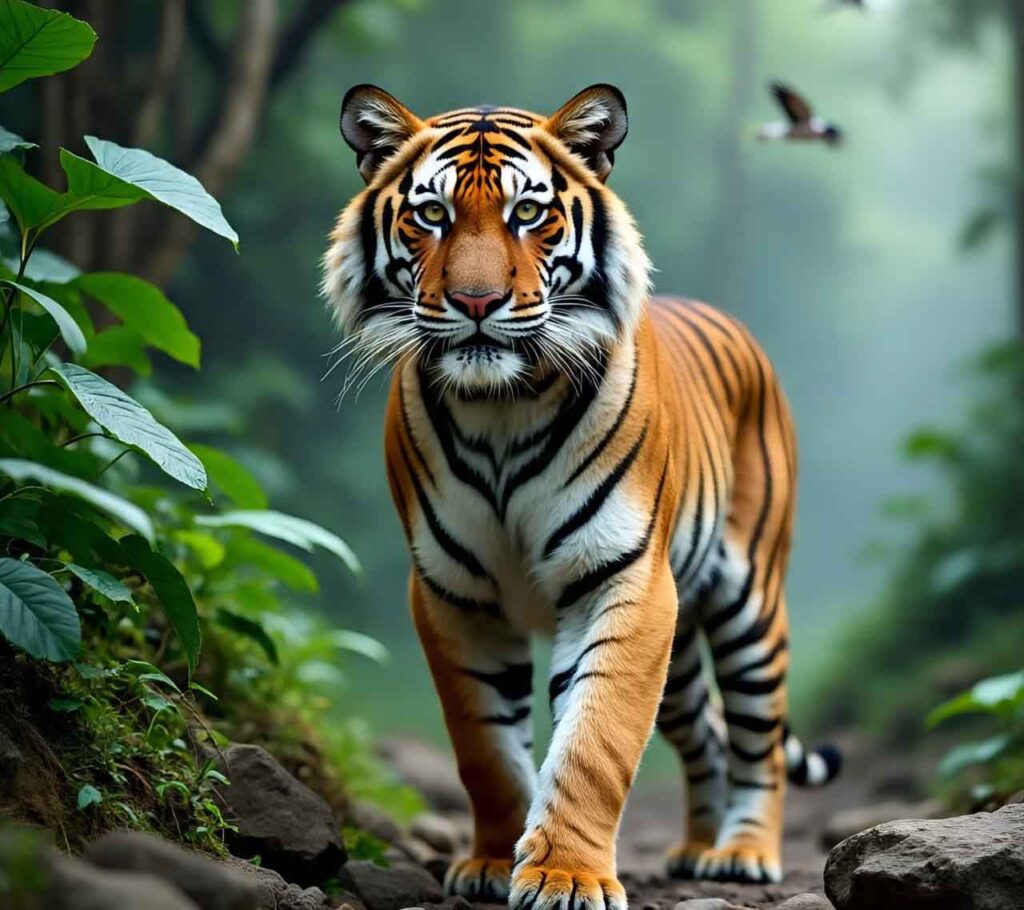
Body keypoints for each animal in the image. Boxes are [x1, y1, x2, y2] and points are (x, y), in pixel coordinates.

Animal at [322, 83, 841, 909]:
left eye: (528, 212)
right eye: (431, 214)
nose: (476, 301)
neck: (498, 408)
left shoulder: (624, 583)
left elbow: (595, 742)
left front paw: (565, 875)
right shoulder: (453, 594)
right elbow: (485, 747)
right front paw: (493, 862)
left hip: (750, 602)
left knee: (758, 740)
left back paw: (743, 855)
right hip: (683, 647)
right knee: (705, 734)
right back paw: (694, 850)